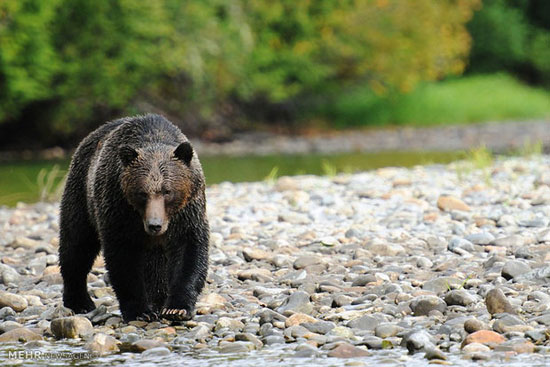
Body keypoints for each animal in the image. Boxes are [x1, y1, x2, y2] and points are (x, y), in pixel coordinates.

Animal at [58, 114, 209, 322]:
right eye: (142, 193)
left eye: (167, 191)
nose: (155, 225)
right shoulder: (119, 209)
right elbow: (124, 259)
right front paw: (139, 311)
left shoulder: (187, 213)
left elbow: (189, 253)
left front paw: (176, 308)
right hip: (81, 194)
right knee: (76, 245)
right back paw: (80, 301)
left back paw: (158, 299)